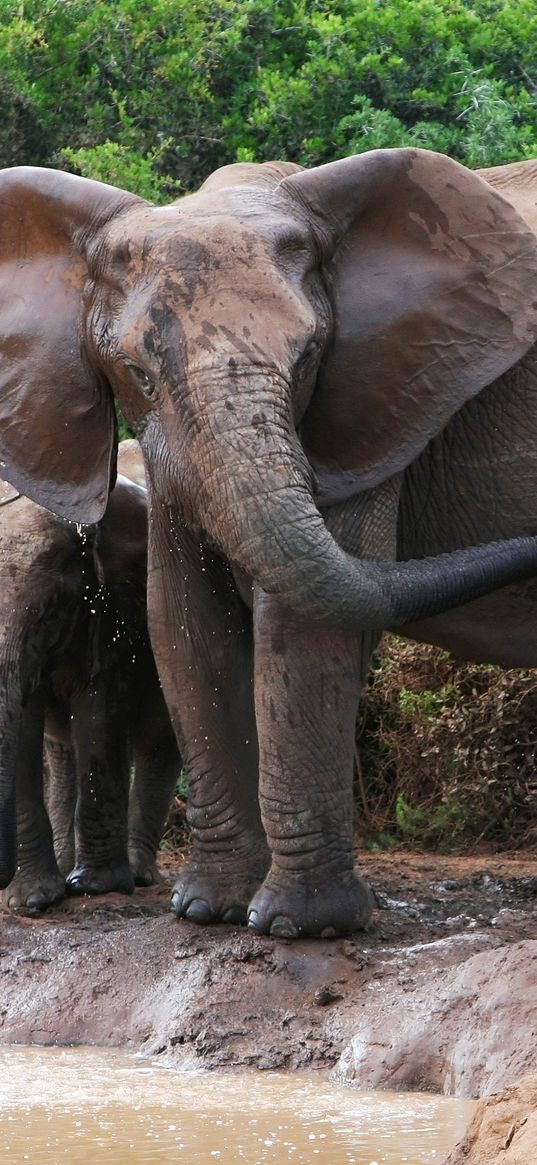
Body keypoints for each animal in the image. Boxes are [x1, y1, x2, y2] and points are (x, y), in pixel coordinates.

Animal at [0, 438, 180, 908]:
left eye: (49, 610)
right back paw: (67, 870)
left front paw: (100, 887)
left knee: (163, 740)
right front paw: (35, 901)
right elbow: (24, 727)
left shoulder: (116, 602)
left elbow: (101, 708)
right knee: (62, 751)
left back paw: (138, 875)